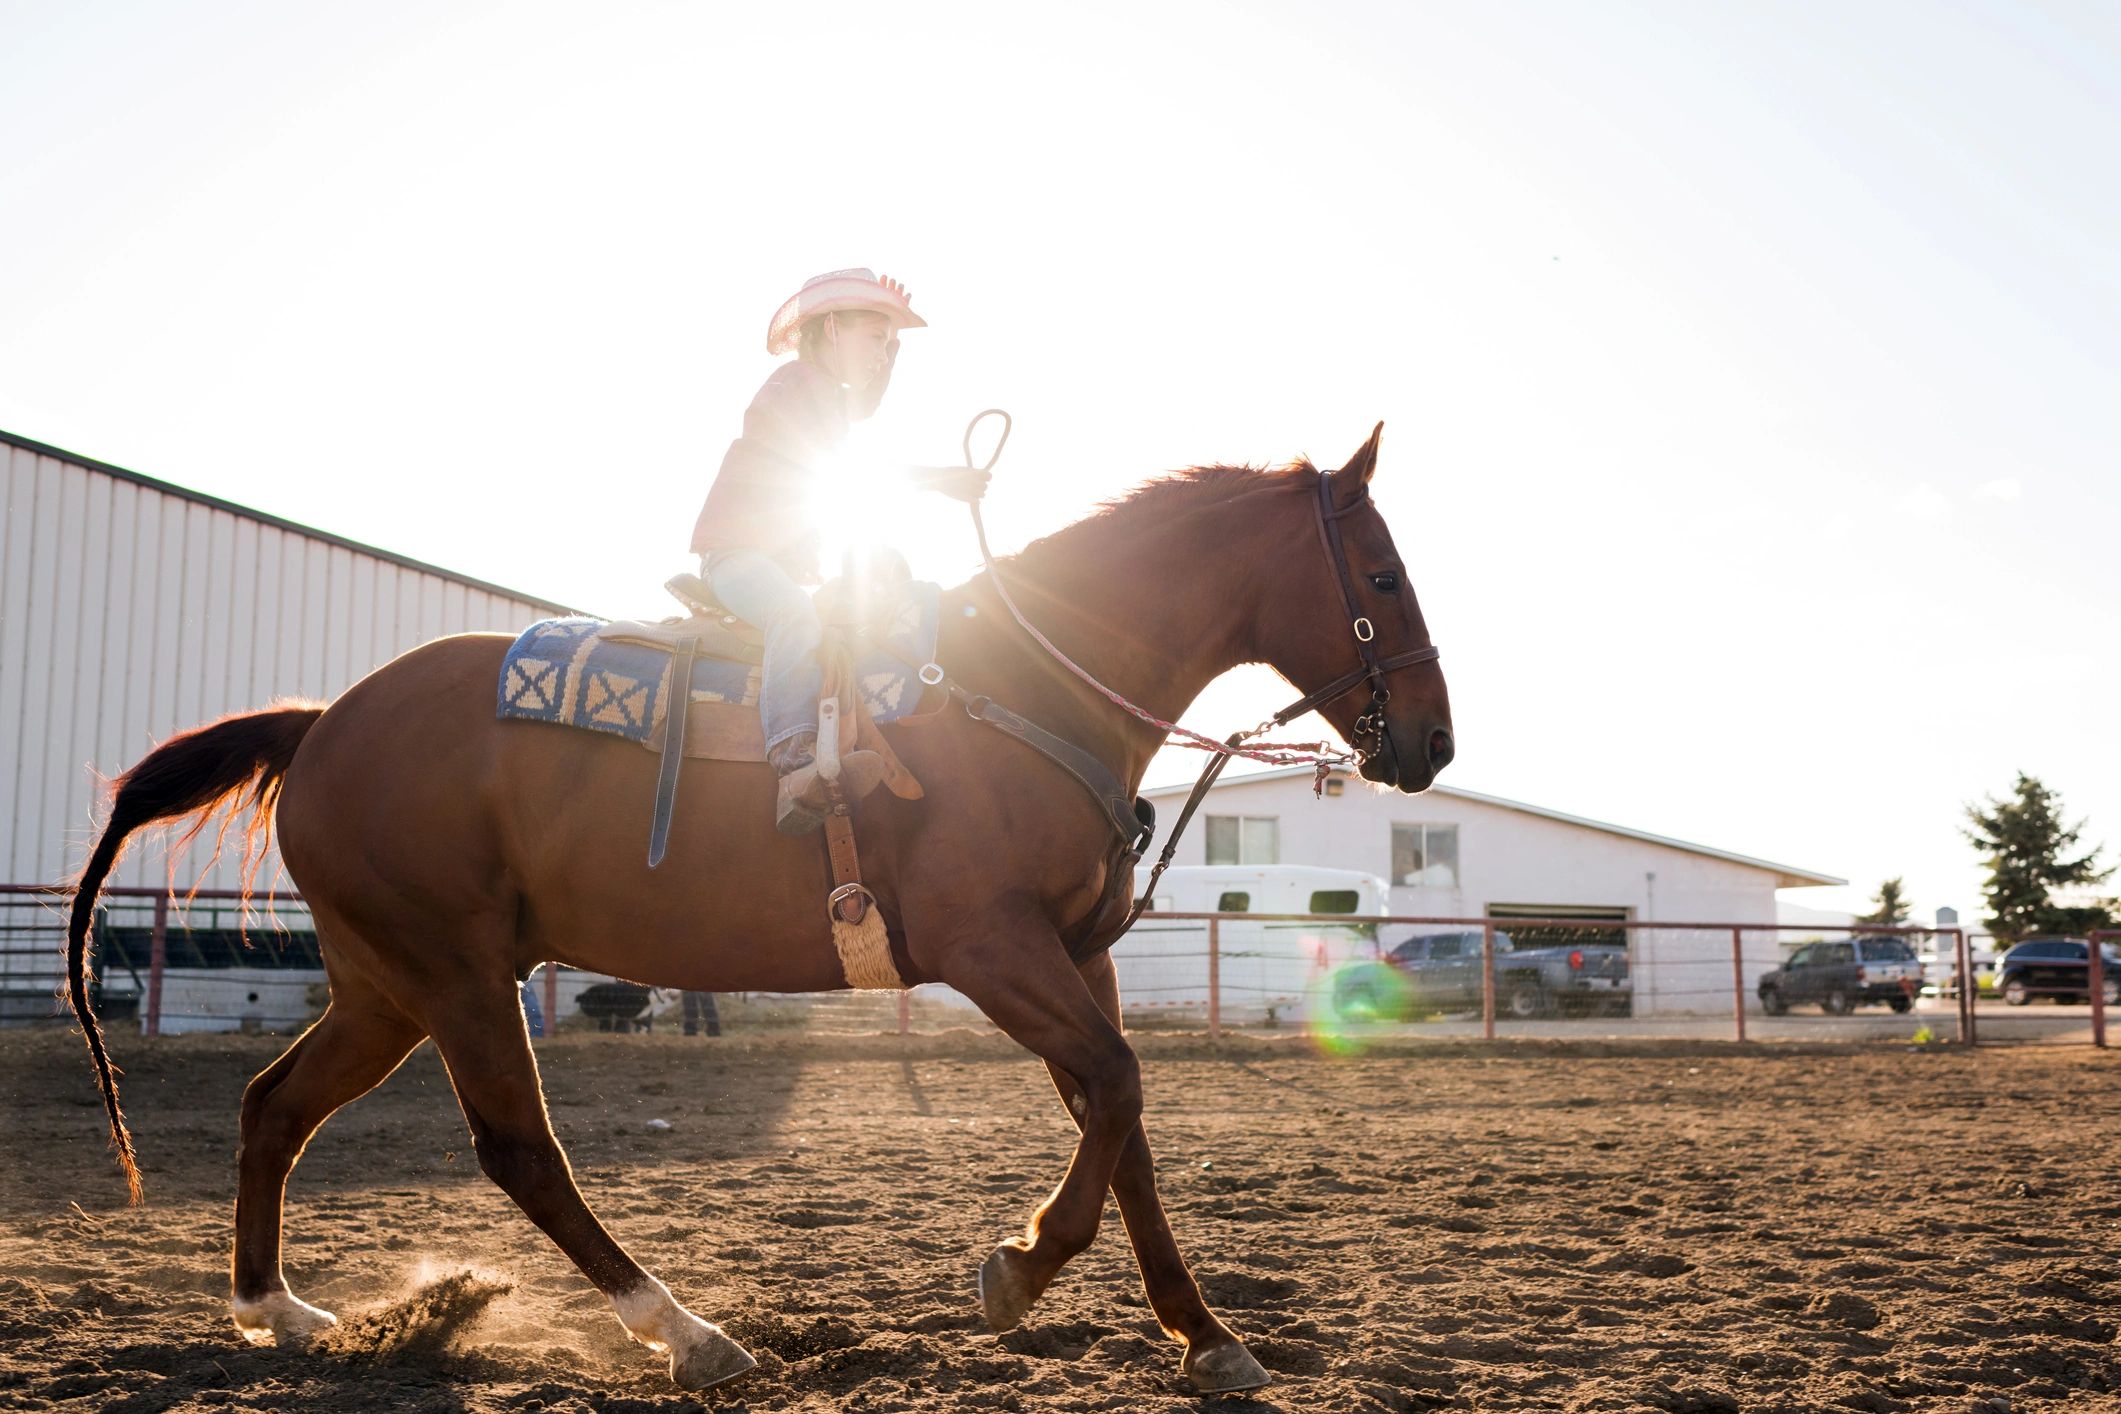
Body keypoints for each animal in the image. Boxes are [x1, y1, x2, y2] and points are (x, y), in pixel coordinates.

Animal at [62, 424, 1454, 1395]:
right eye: (1383, 570)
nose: (1434, 744)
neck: (1020, 681)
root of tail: (319, 723)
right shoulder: (989, 945)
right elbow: (1115, 1091)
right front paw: (1017, 1269)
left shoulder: (1078, 956)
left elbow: (1126, 1126)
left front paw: (1206, 1336)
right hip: (451, 974)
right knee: (520, 1150)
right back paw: (685, 1331)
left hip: (383, 986)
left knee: (274, 1107)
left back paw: (279, 1312)